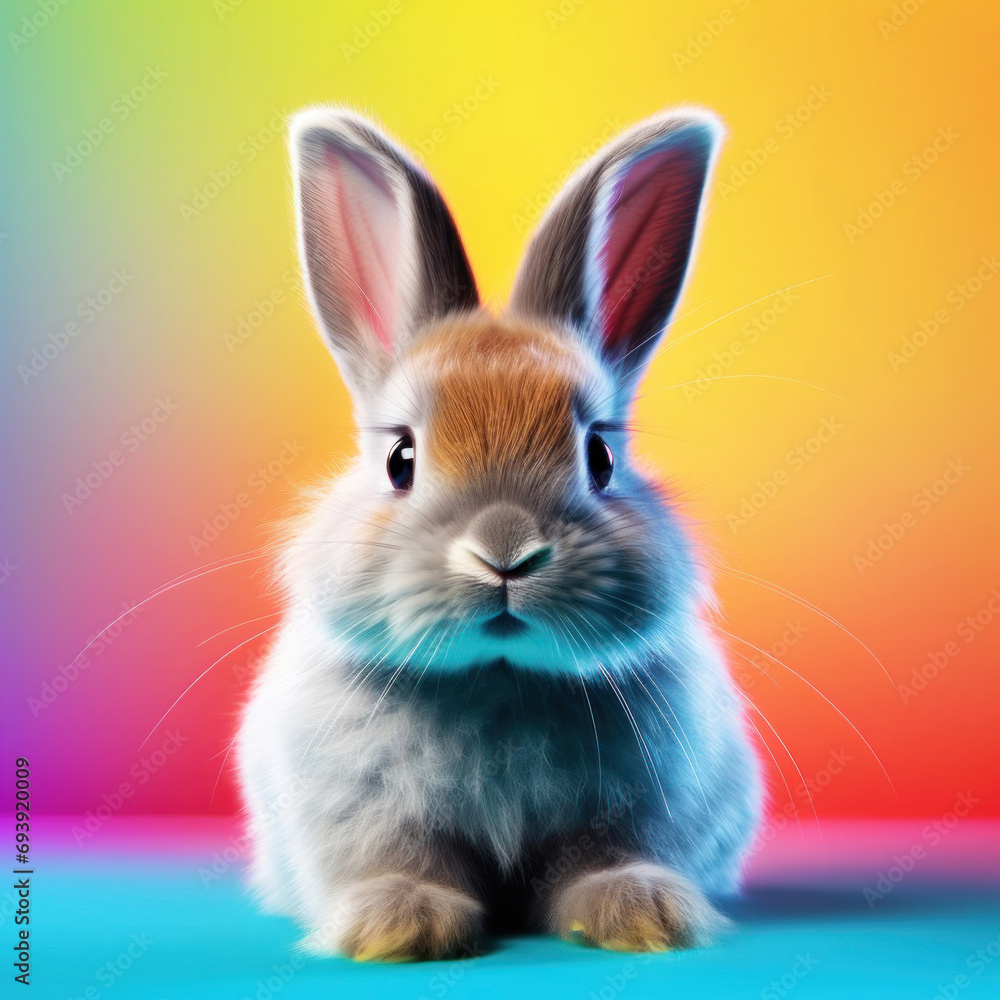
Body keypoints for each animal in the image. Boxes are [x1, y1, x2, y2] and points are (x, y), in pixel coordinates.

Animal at [236, 104, 762, 962]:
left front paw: (640, 917)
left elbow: (605, 858)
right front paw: (398, 926)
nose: (507, 554)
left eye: (600, 457)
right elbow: (401, 859)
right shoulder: (368, 816)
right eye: (401, 459)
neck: (500, 678)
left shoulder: (634, 811)